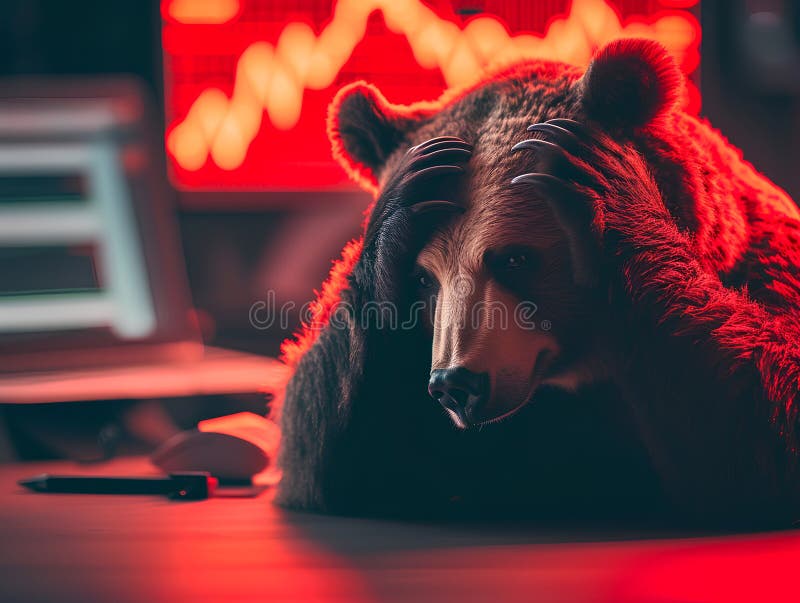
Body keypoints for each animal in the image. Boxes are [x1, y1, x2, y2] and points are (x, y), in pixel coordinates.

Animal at [275, 38, 800, 526]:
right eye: (422, 278)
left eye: (515, 257)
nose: (455, 383)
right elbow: (341, 454)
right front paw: (409, 185)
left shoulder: (767, 268)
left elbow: (745, 420)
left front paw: (600, 176)